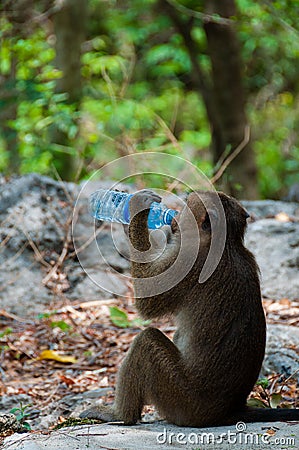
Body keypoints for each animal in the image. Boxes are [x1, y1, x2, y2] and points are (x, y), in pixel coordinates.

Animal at [81, 189, 299, 426]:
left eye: (186, 205)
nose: (175, 215)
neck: (224, 244)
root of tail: (230, 411)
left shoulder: (187, 259)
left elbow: (147, 302)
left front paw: (137, 210)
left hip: (181, 400)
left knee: (146, 342)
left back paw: (121, 415)